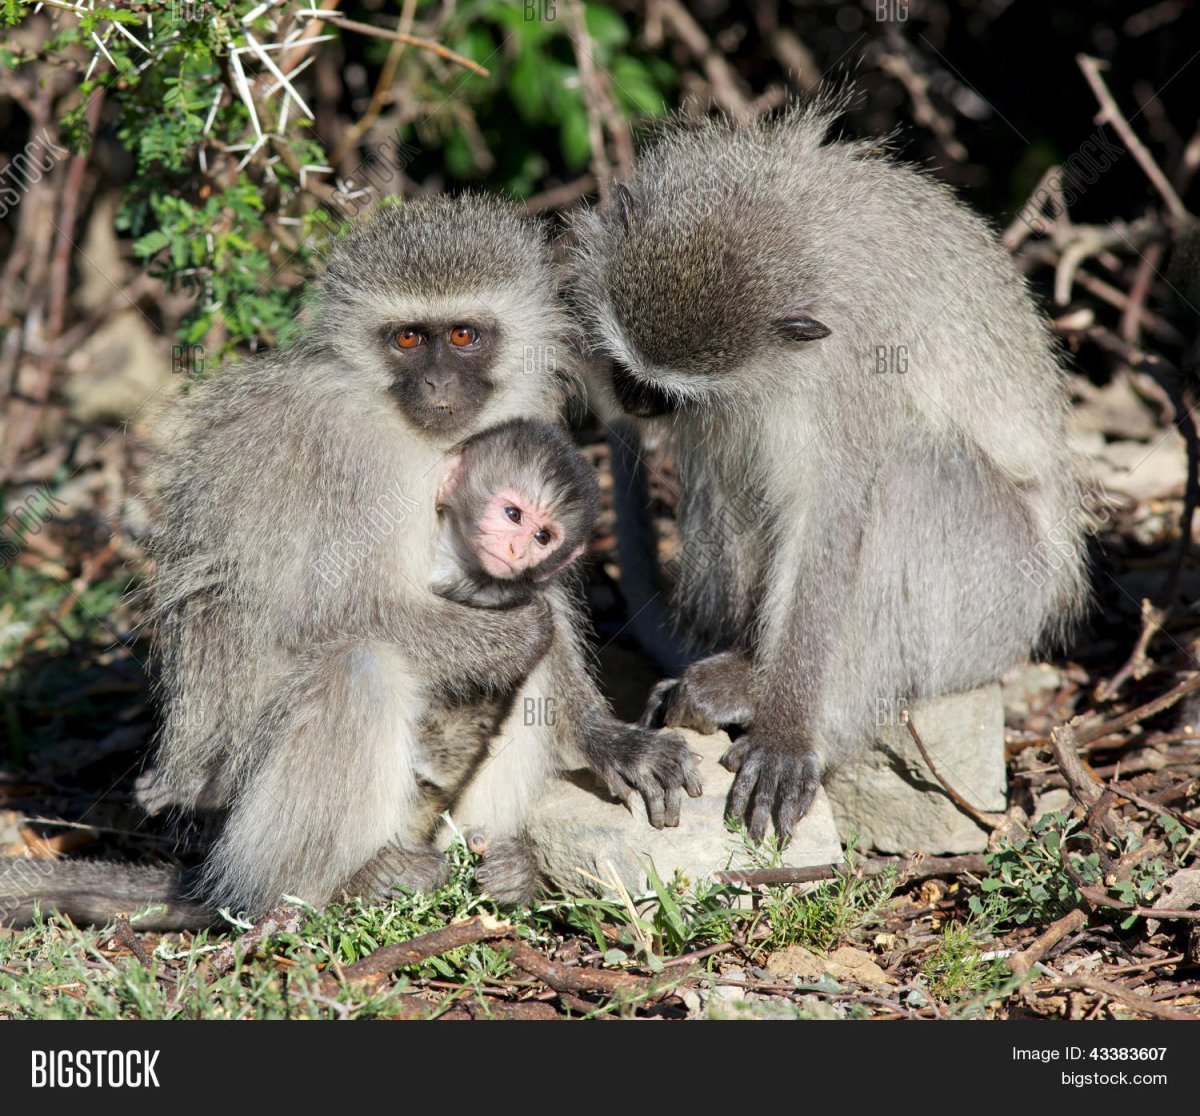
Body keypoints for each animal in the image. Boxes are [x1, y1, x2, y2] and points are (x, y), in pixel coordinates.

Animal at [570, 100, 1088, 843]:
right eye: (627, 368)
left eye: (660, 388)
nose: (633, 399)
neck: (788, 214)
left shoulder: (854, 368)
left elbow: (831, 516)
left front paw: (787, 732)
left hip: (997, 605)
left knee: (911, 477)